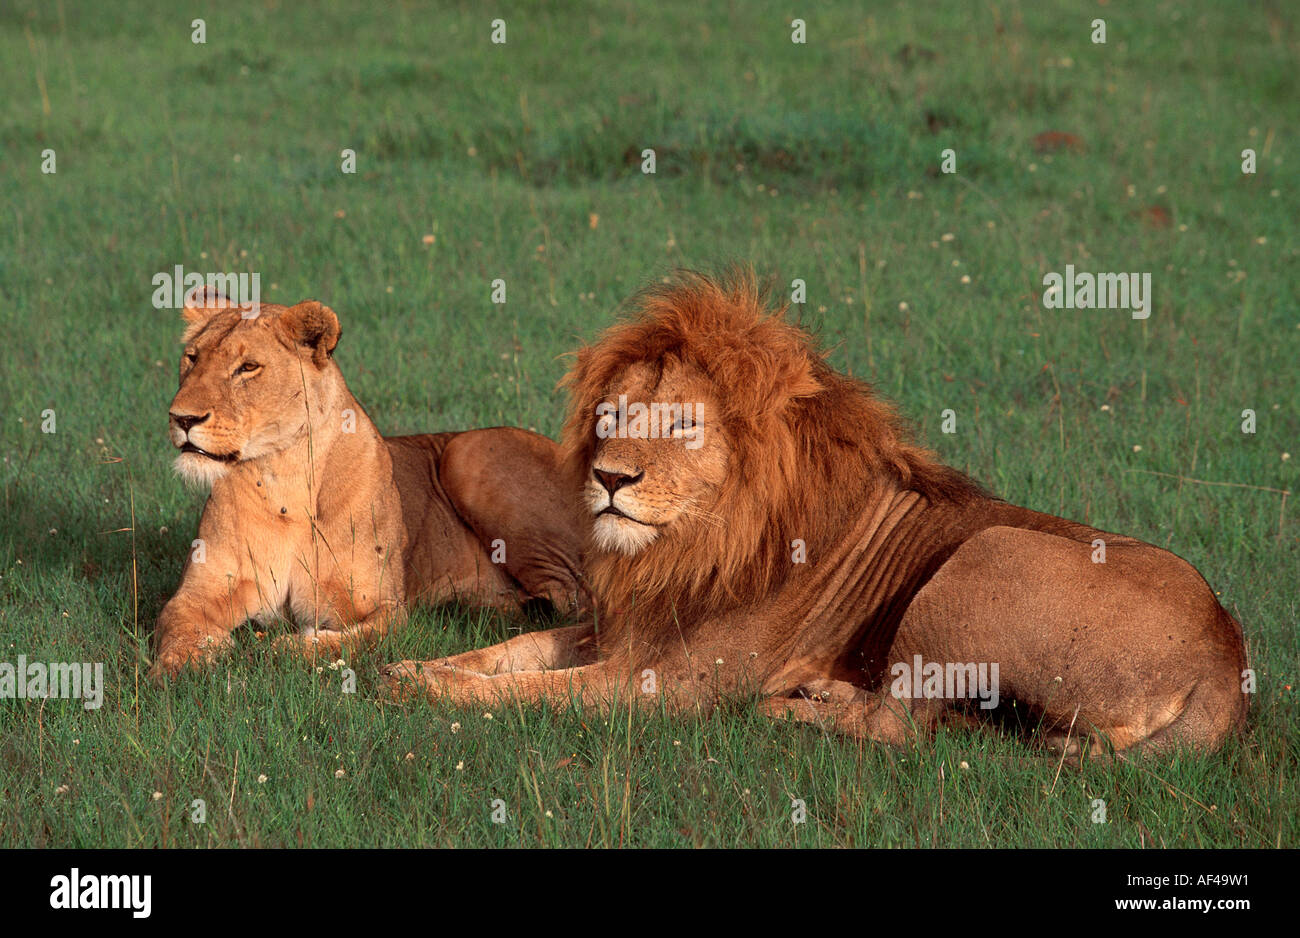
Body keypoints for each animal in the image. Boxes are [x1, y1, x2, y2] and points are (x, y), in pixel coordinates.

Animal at [150, 286, 584, 681]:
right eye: (192, 357)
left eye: (248, 367)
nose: (182, 418)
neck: (283, 477)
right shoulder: (197, 593)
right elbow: (175, 624)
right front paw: (182, 665)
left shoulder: (382, 607)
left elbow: (351, 640)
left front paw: (280, 647)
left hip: (468, 449)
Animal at [380, 272, 1249, 756]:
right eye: (611, 414)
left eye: (683, 424)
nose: (609, 477)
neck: (691, 544)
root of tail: (1226, 665)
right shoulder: (625, 628)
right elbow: (513, 651)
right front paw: (413, 668)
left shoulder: (670, 683)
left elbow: (532, 692)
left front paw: (423, 692)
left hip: (987, 555)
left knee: (900, 728)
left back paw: (791, 706)